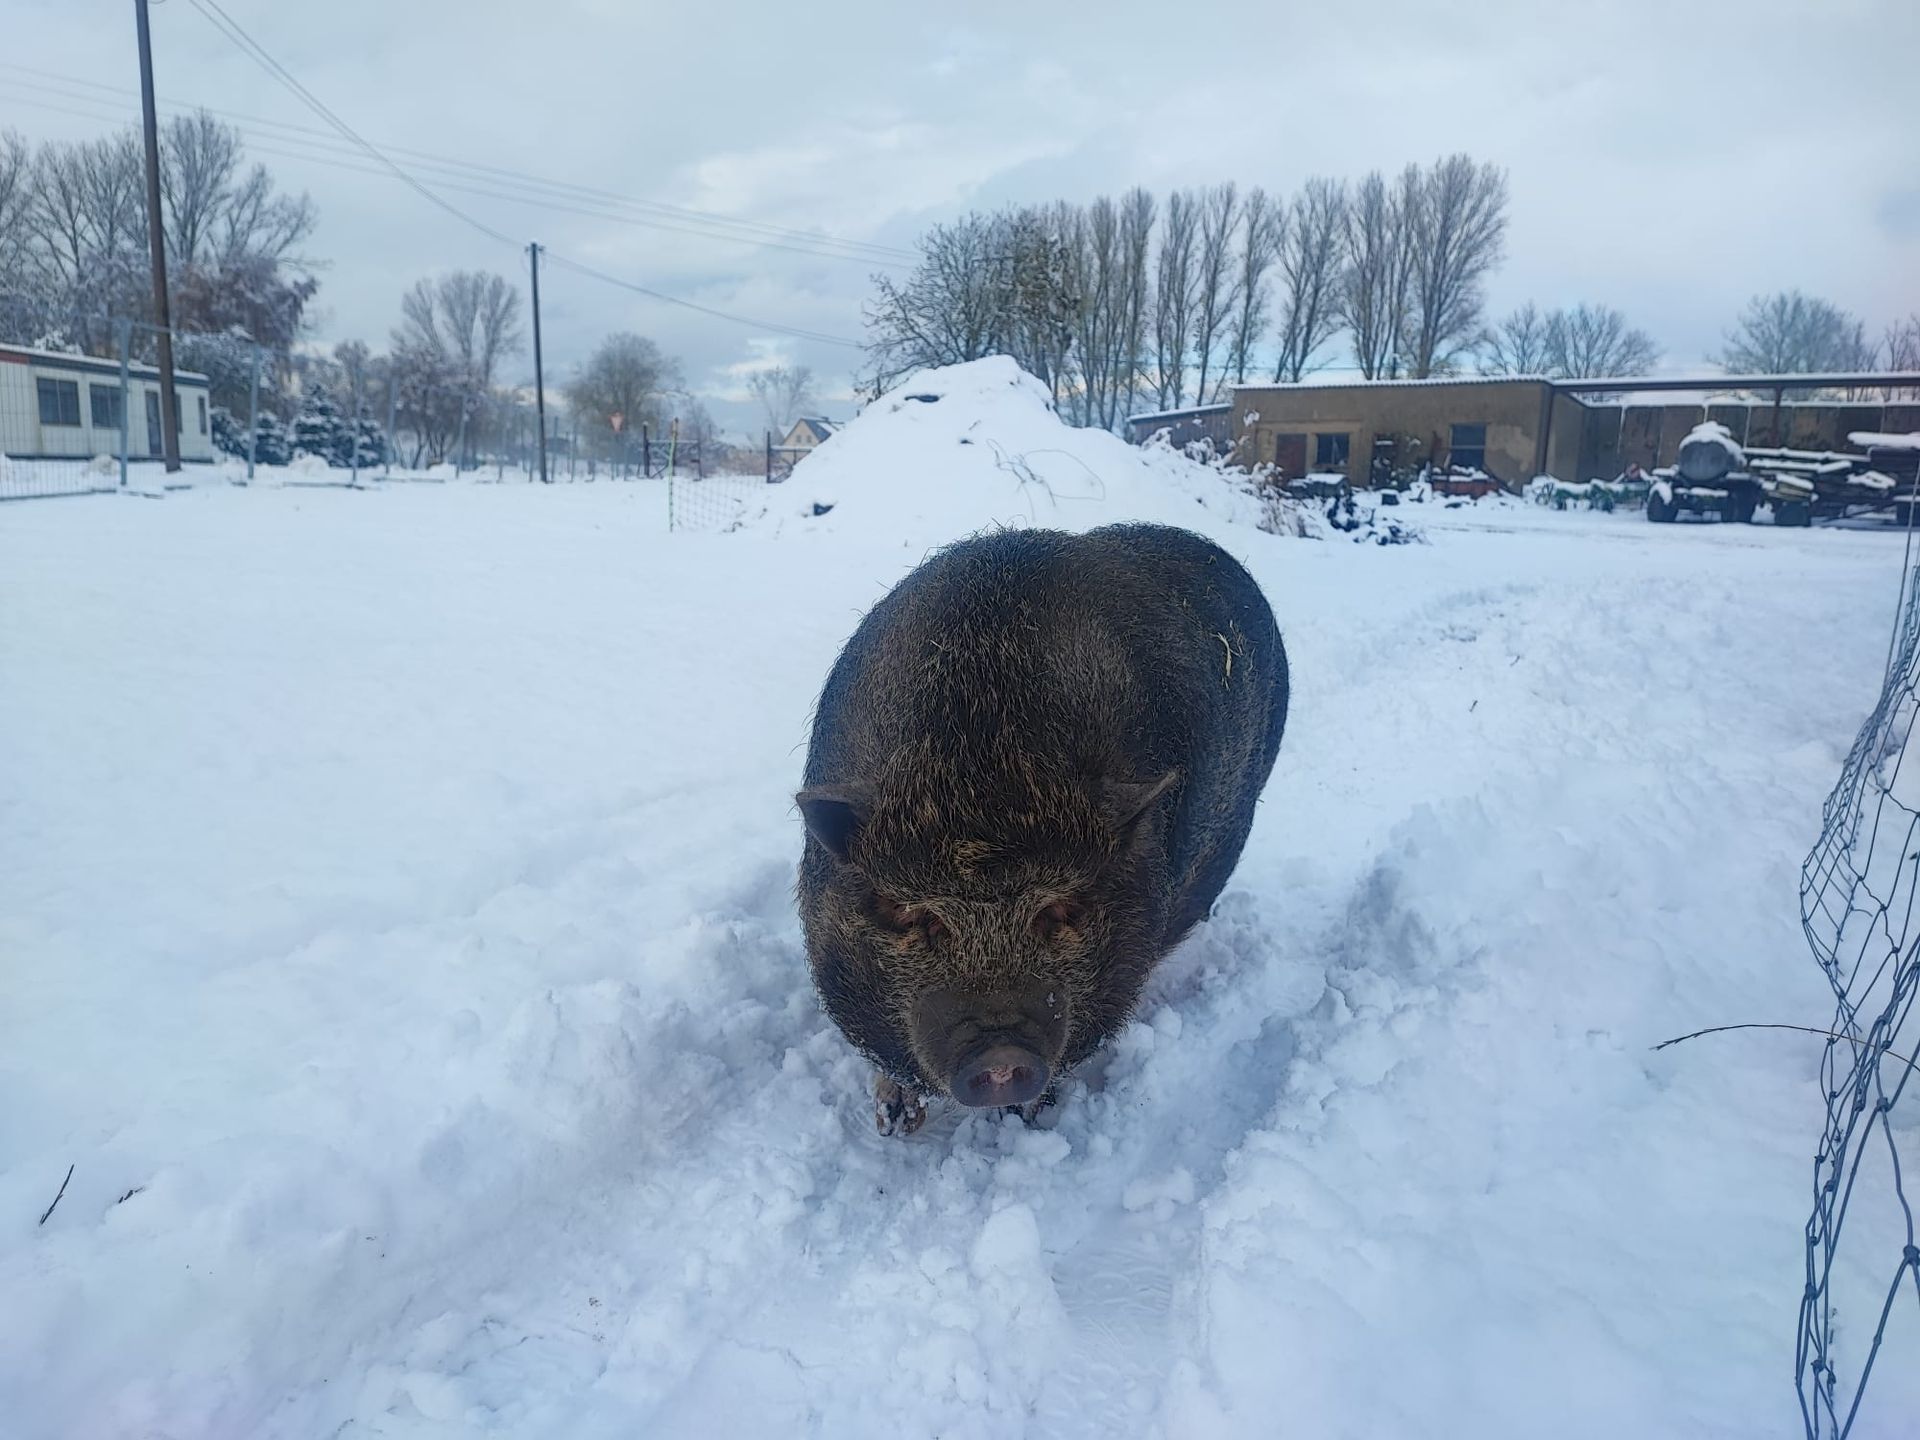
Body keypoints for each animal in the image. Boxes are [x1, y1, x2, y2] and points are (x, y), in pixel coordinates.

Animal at [796, 523, 1288, 1134]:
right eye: (914, 915)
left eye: (1060, 910)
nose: (1001, 1052)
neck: (983, 753)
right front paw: (892, 1124)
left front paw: (1029, 1118)